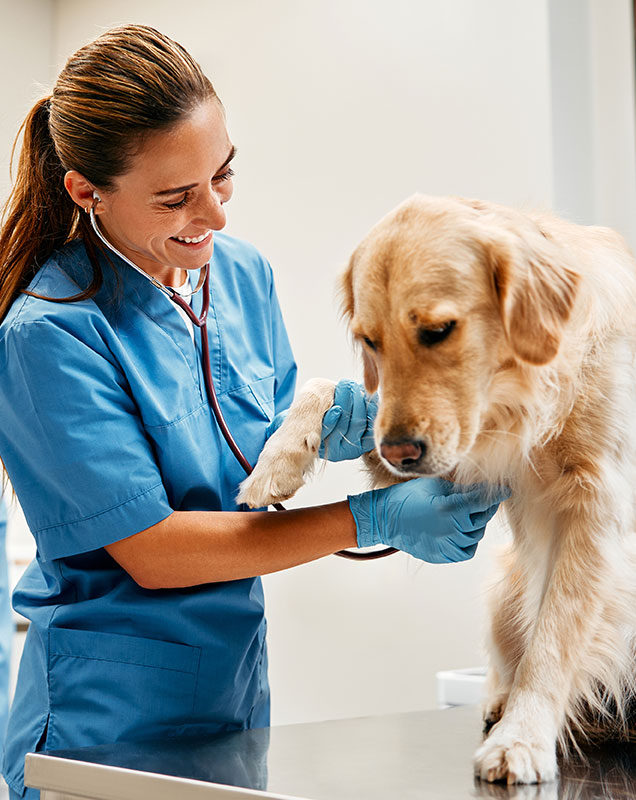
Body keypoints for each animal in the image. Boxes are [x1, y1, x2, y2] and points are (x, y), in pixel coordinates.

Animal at [235, 197, 636, 784]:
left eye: (439, 330)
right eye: (369, 341)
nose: (400, 451)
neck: (523, 389)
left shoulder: (594, 501)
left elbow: (554, 636)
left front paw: (522, 739)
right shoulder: (443, 459)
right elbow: (328, 388)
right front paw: (276, 462)